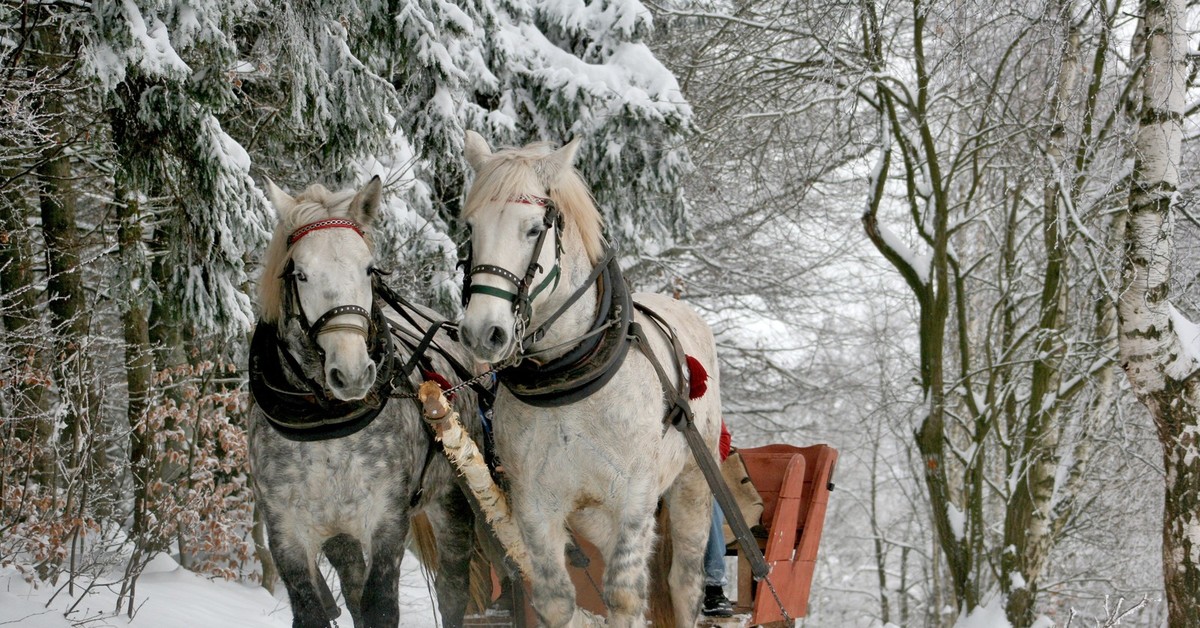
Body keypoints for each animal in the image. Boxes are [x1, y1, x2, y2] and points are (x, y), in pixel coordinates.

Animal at [247, 177, 477, 628]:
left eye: (369, 269)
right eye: (300, 274)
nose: (352, 373)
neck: (324, 423)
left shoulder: (387, 519)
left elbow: (380, 605)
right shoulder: (286, 530)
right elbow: (314, 612)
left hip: (453, 500)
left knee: (453, 590)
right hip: (339, 533)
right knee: (352, 588)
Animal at [456, 130, 720, 624]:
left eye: (533, 229)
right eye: (471, 227)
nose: (483, 332)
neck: (569, 381)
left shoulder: (634, 498)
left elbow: (624, 596)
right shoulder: (535, 506)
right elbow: (556, 599)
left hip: (694, 480)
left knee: (684, 582)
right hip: (591, 515)